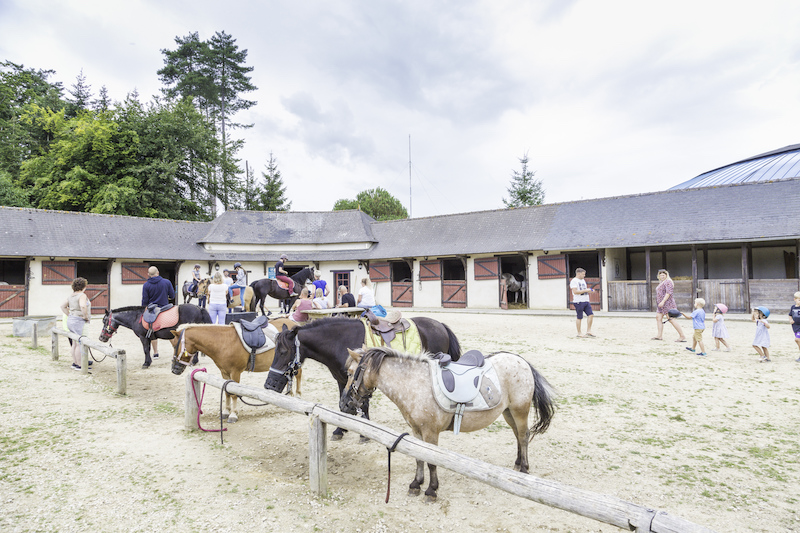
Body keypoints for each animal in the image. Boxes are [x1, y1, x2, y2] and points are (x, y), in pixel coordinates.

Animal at [171, 316, 300, 424]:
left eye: (175, 345)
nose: (174, 369)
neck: (223, 342)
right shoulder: (224, 372)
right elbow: (227, 392)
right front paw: (226, 412)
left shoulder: (235, 372)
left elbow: (233, 394)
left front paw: (233, 415)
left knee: (298, 376)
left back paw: (297, 396)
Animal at [266, 316, 460, 436]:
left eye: (283, 352)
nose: (269, 385)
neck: (339, 341)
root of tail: (440, 325)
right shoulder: (343, 380)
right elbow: (343, 404)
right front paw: (340, 429)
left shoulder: (360, 378)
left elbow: (362, 404)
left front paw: (363, 434)